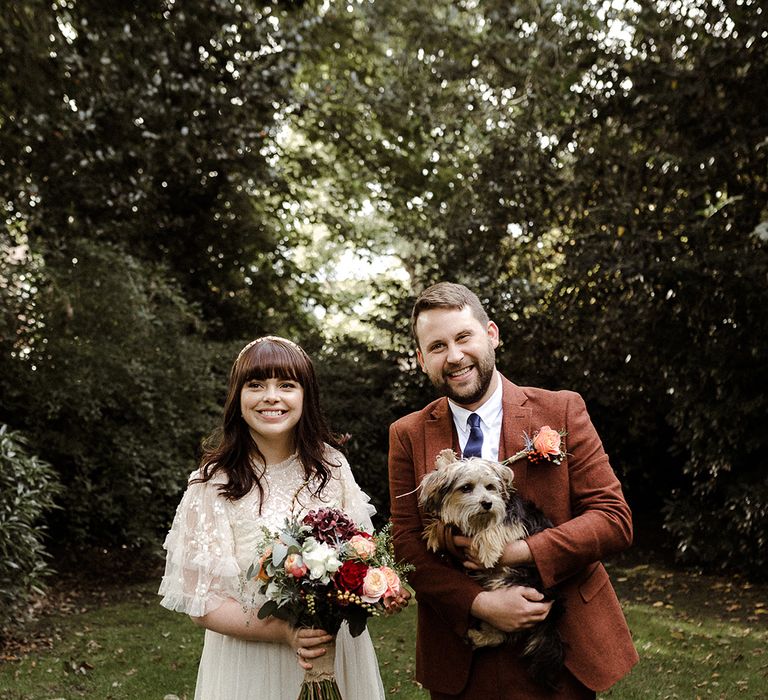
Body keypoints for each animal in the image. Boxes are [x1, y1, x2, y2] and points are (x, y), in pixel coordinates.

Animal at [420, 448, 564, 688]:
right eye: (466, 488)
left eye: (490, 487)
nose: (487, 503)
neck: (479, 520)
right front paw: (434, 533)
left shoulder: (514, 518)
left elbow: (497, 525)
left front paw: (487, 550)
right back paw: (477, 636)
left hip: (510, 582)